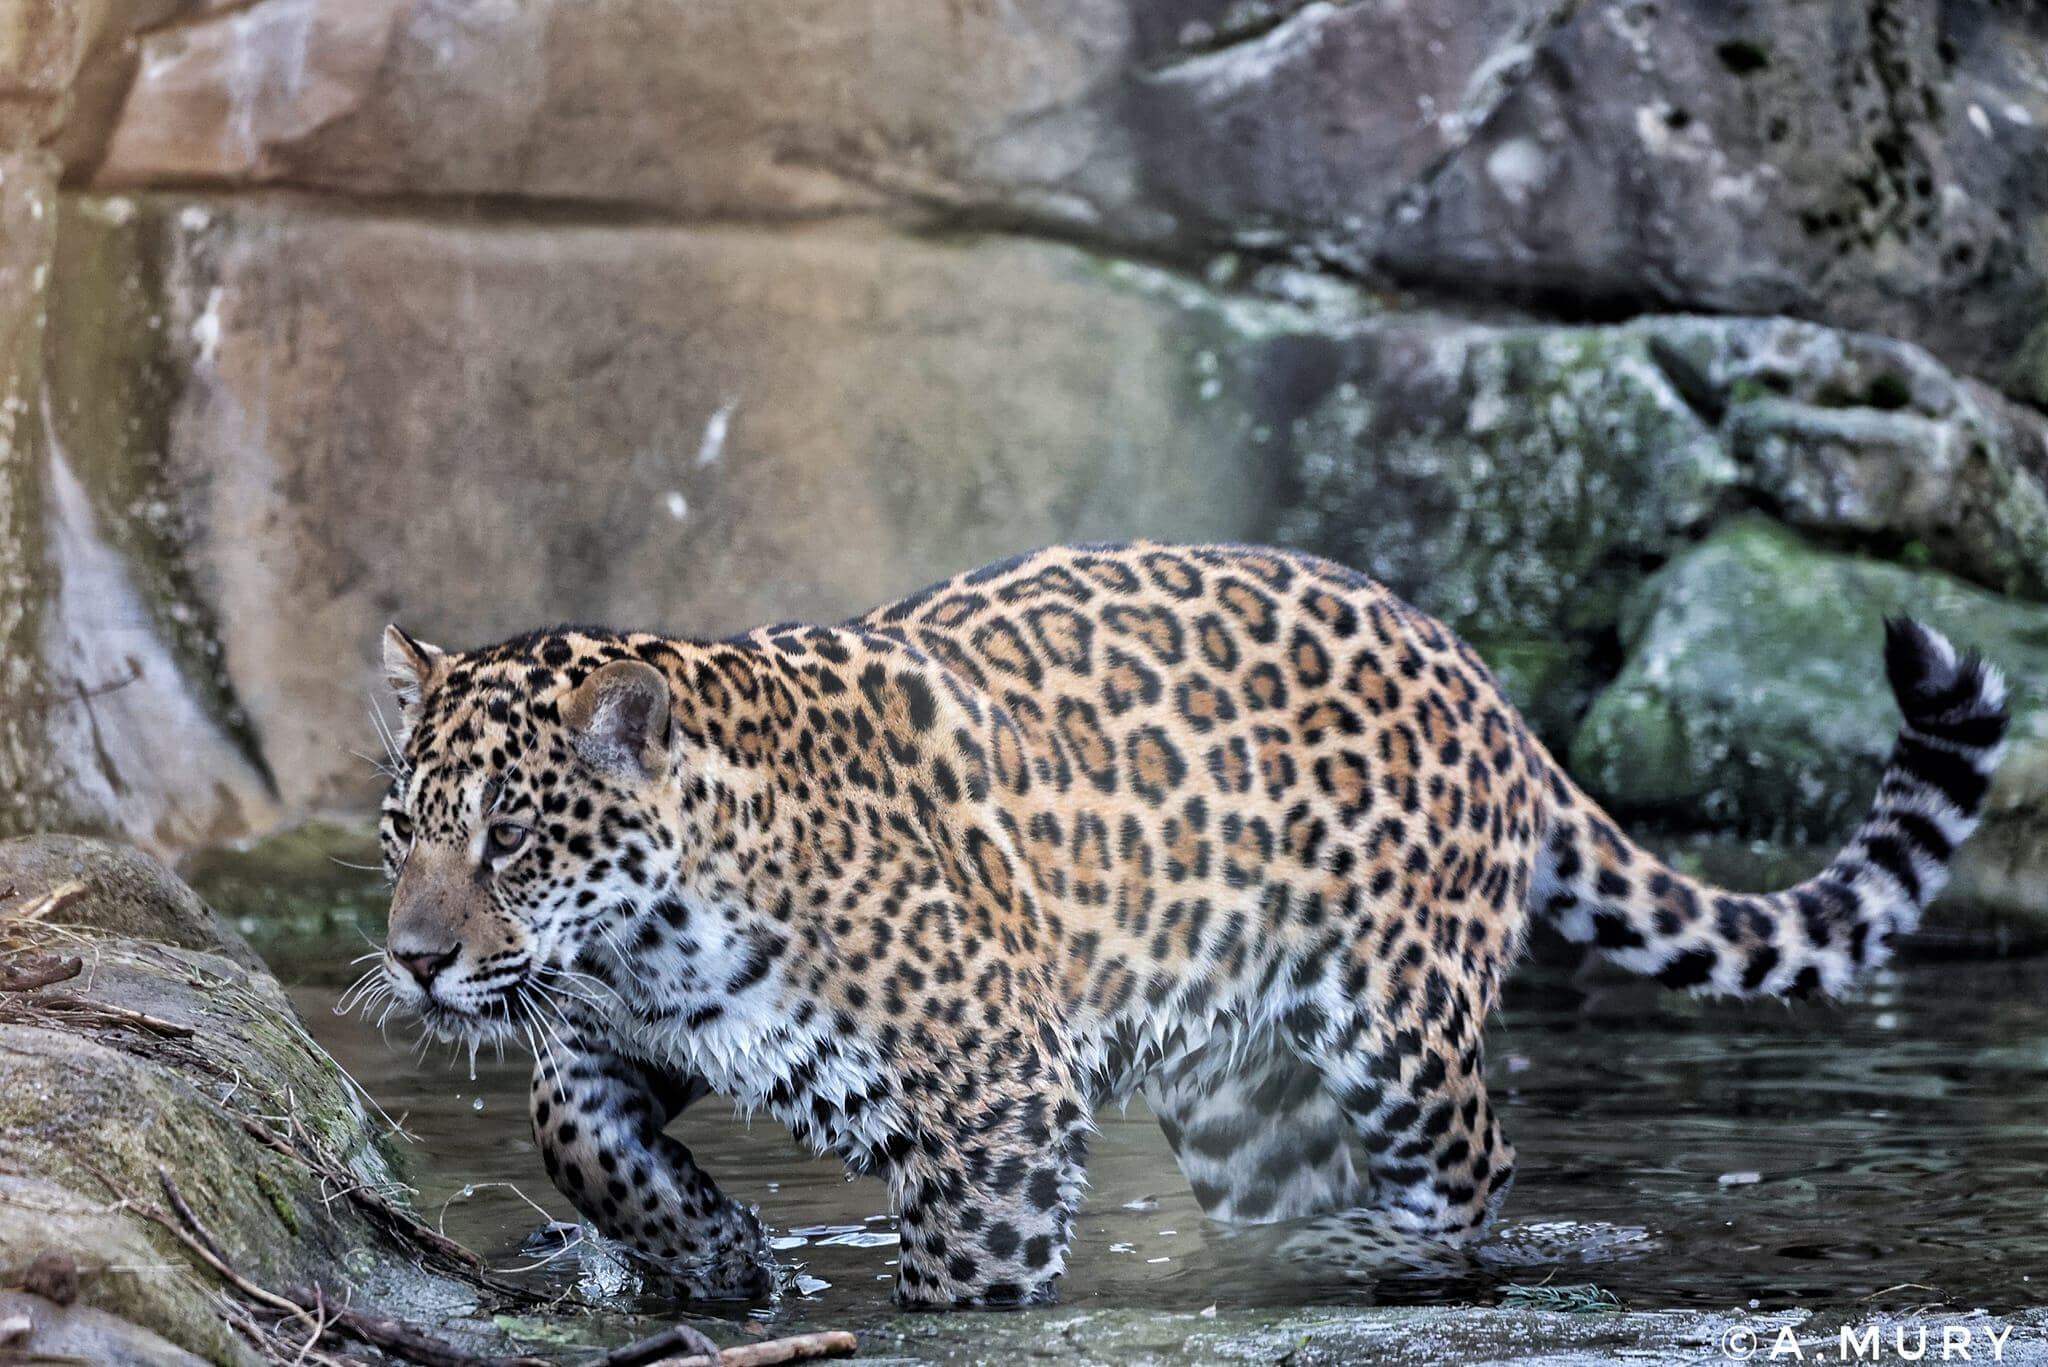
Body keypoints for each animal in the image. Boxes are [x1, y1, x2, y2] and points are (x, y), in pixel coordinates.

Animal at [366, 540, 2008, 1309]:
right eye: (400, 832)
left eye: (508, 837)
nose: (414, 959)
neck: (644, 939)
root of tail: (1482, 678)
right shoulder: (614, 1036)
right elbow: (570, 1134)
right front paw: (715, 1253)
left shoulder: (996, 1098)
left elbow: (966, 1278)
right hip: (1238, 1083)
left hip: (1393, 1016)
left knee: (1473, 1168)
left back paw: (1357, 1249)